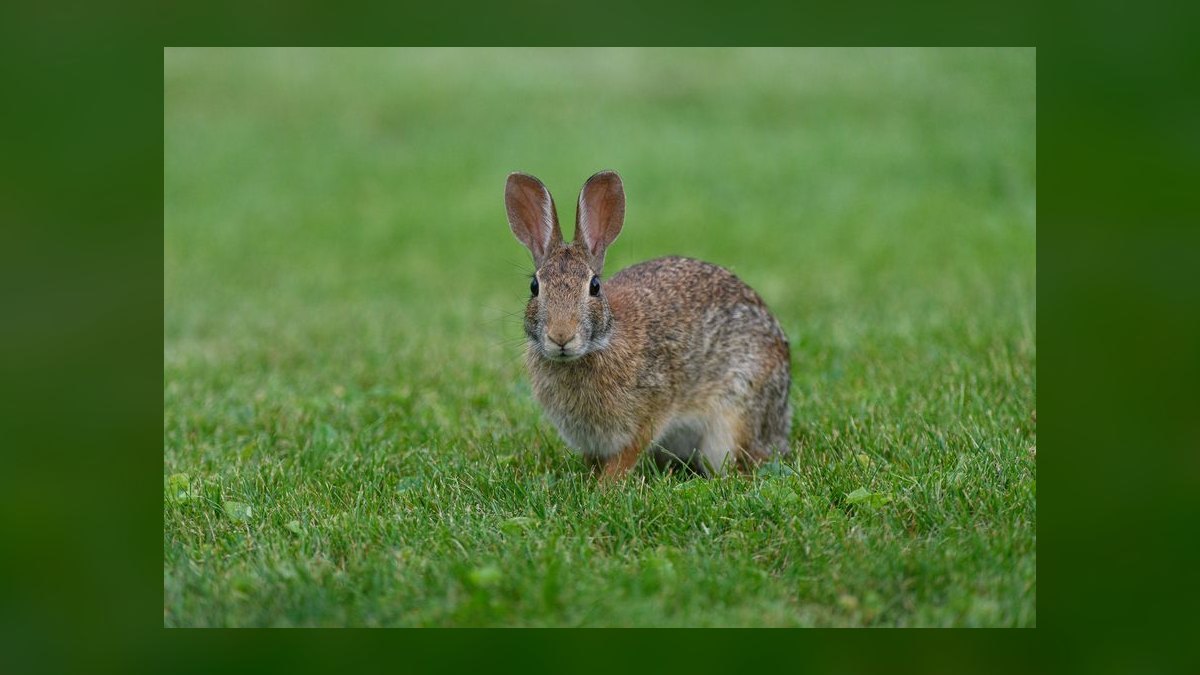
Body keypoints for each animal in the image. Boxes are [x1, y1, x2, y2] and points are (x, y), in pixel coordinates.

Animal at [505, 170, 792, 479]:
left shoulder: (649, 414)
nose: (561, 336)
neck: (601, 342)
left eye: (595, 286)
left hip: (732, 420)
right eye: (534, 287)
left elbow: (627, 455)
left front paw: (606, 486)